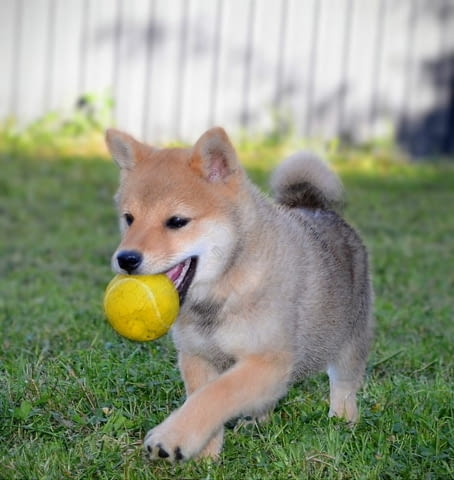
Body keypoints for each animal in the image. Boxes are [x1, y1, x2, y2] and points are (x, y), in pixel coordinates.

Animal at [105, 126, 372, 462]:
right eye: (129, 218)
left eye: (177, 221)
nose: (126, 259)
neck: (224, 289)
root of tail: (316, 206)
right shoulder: (197, 356)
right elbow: (202, 397)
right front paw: (206, 456)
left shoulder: (267, 361)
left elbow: (217, 394)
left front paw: (172, 437)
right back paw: (257, 421)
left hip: (351, 339)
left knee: (344, 386)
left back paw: (342, 422)